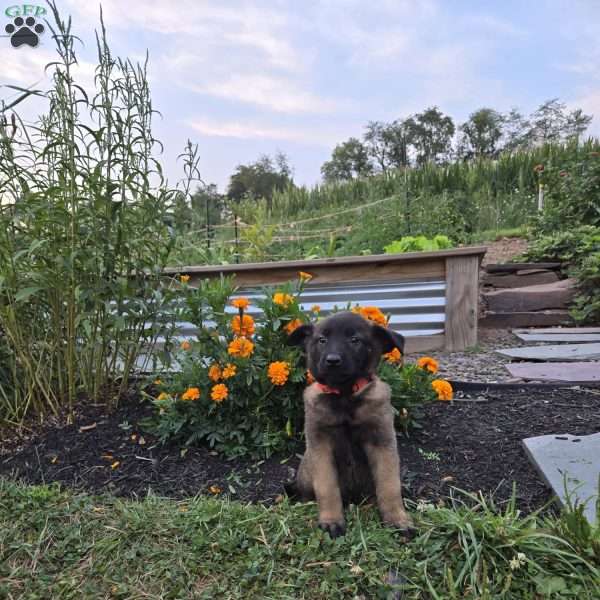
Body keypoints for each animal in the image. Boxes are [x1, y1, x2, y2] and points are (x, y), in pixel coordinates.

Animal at [288, 312, 414, 536]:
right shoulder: (321, 446)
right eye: (322, 340)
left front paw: (396, 519)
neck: (345, 394)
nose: (332, 360)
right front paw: (331, 520)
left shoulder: (382, 442)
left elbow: (389, 486)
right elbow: (327, 487)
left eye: (355, 340)